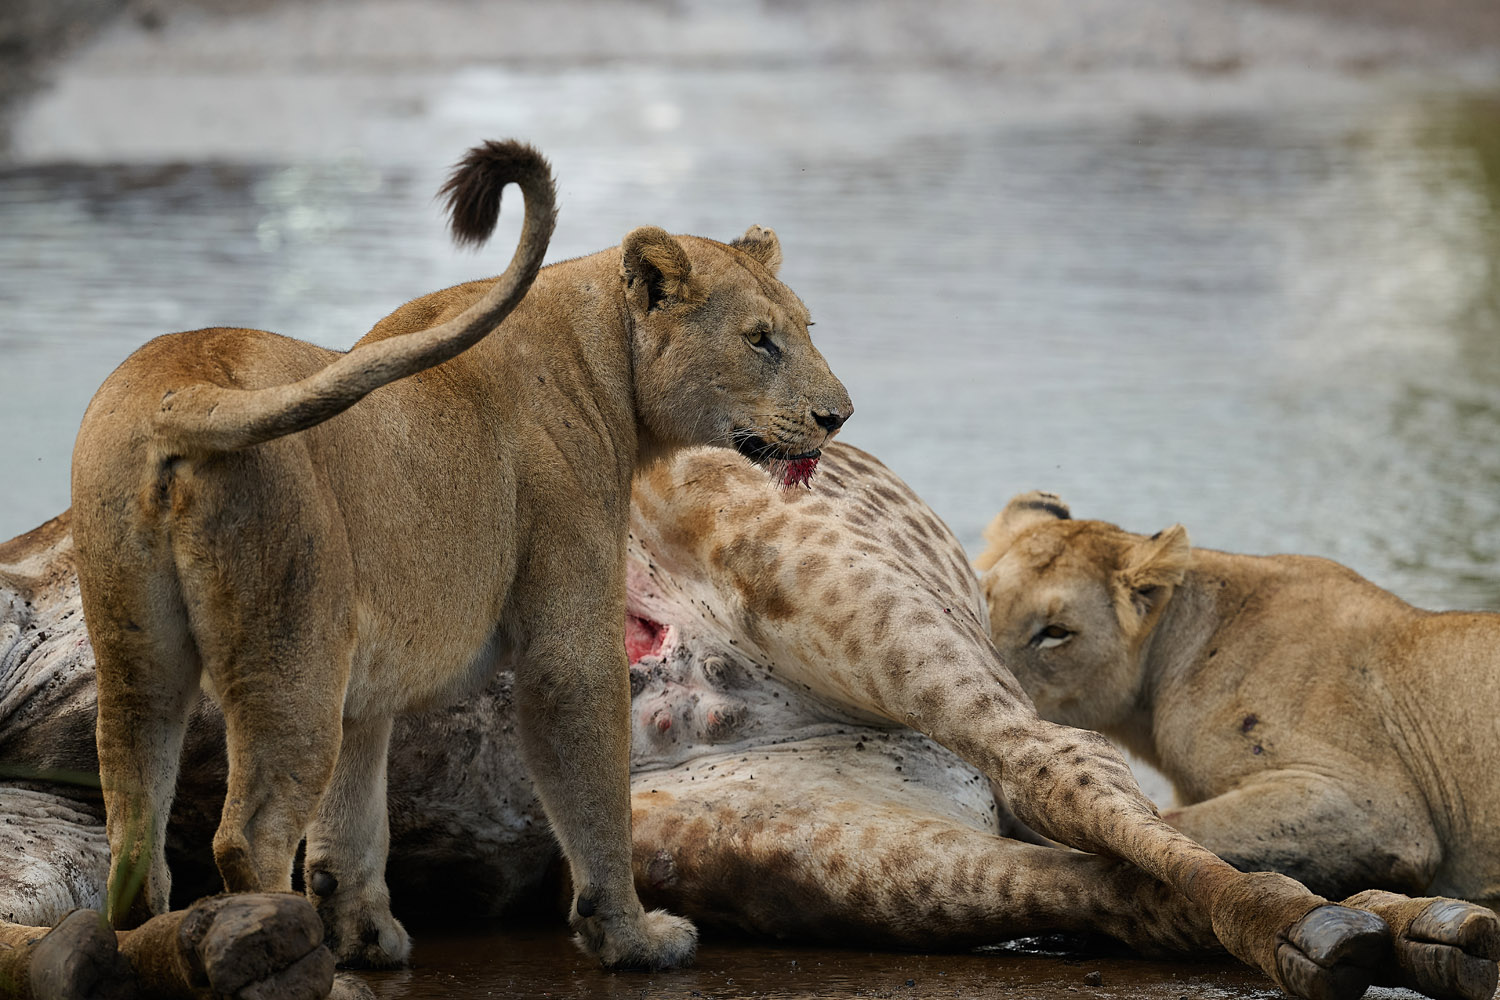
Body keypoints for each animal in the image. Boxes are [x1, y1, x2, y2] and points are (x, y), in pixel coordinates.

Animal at [67, 138, 853, 971]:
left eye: (806, 326)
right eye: (759, 339)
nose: (839, 415)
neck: (607, 361)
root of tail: (181, 391)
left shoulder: (365, 677)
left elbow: (353, 818)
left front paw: (366, 934)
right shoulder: (566, 635)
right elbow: (595, 787)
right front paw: (632, 937)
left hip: (140, 655)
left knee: (132, 826)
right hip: (291, 650)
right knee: (249, 834)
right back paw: (281, 953)